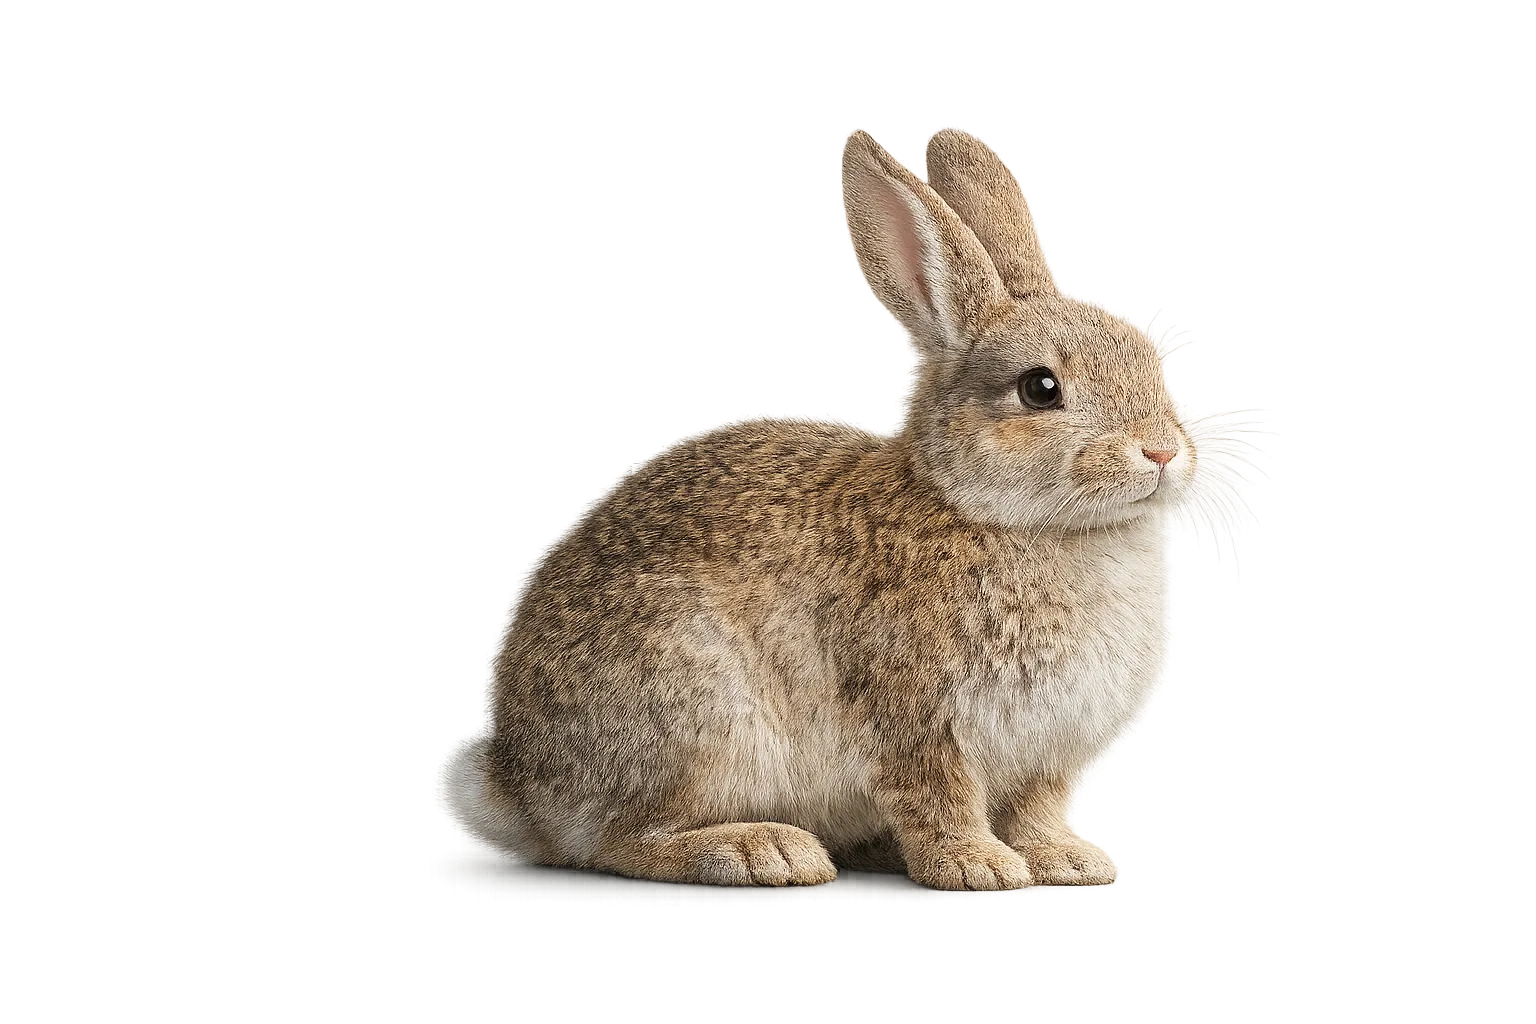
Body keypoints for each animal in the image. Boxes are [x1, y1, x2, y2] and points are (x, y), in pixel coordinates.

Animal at [420, 128, 1197, 890]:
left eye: (1152, 367)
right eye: (1041, 388)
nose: (1162, 452)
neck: (1006, 517)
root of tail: (519, 789)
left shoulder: (1046, 755)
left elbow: (1035, 808)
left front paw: (1064, 860)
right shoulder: (916, 718)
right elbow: (938, 797)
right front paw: (977, 866)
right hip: (697, 714)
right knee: (615, 843)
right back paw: (763, 851)